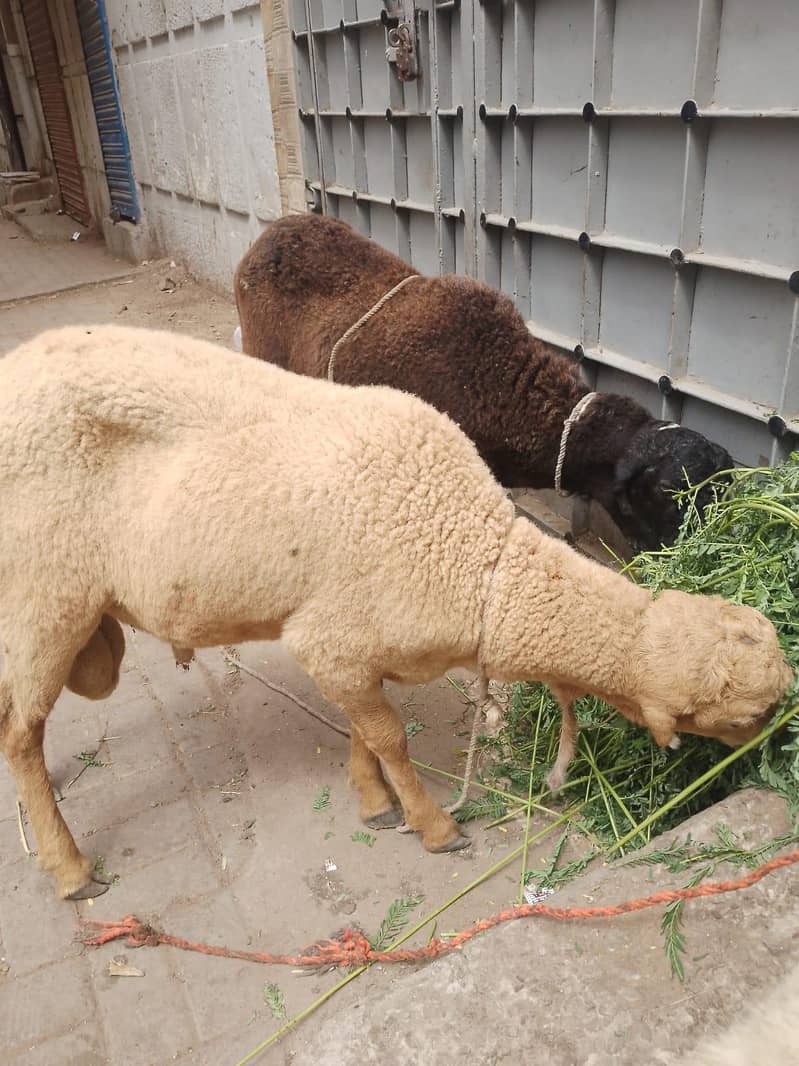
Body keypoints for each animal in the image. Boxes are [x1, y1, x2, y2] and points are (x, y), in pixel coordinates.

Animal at [0, 324, 790, 903]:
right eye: (742, 715)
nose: (776, 740)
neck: (478, 558)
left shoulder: (355, 645)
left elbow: (366, 730)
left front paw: (373, 799)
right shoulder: (328, 640)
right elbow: (391, 737)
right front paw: (432, 824)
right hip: (45, 590)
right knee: (20, 732)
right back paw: (68, 865)